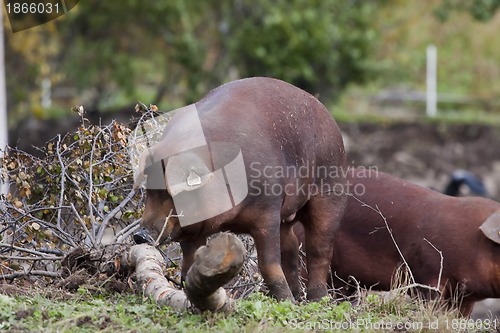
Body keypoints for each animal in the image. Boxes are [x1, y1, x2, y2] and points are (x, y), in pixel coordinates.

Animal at [132, 76, 348, 300]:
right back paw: (297, 296)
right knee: (292, 247)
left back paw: (316, 298)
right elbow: (189, 265)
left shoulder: (268, 211)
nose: (140, 235)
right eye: (149, 191)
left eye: (174, 192)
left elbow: (268, 264)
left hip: (331, 191)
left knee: (319, 250)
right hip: (286, 216)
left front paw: (284, 301)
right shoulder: (193, 230)